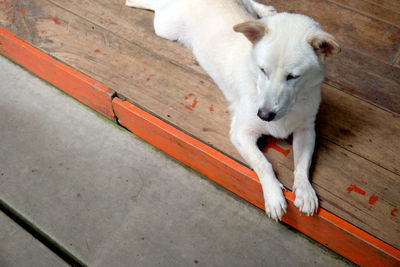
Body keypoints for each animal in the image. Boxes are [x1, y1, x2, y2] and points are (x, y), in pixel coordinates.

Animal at [126, 0, 340, 222]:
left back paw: (265, 10)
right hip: (166, 27)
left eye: (293, 76)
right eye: (262, 70)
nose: (264, 115)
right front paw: (273, 196)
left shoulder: (306, 130)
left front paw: (305, 191)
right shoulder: (241, 133)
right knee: (159, 7)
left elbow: (303, 163)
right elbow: (263, 164)